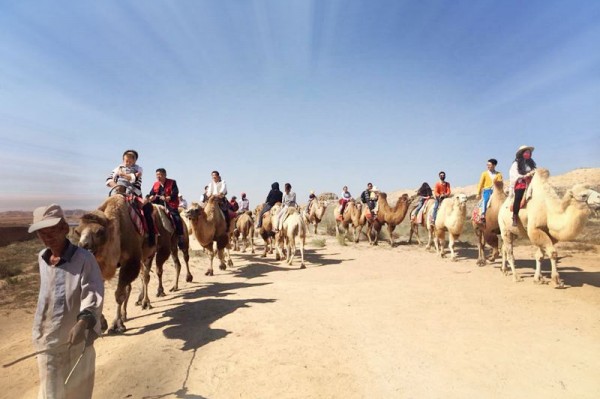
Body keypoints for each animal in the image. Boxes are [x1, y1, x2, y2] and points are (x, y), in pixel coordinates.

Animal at [76, 195, 156, 334]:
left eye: (99, 232)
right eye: (78, 232)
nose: (83, 246)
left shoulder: (130, 262)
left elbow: (119, 295)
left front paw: (116, 325)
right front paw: (102, 323)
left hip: (149, 254)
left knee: (145, 277)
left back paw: (146, 303)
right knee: (132, 284)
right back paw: (125, 314)